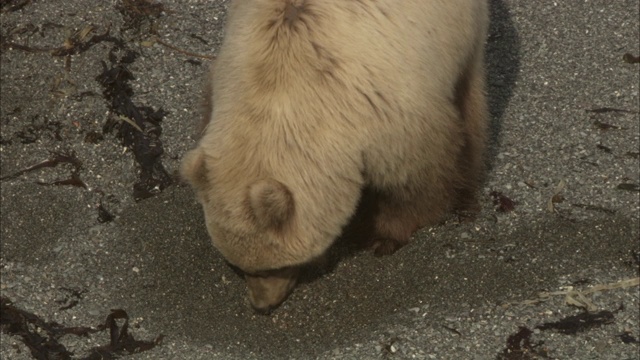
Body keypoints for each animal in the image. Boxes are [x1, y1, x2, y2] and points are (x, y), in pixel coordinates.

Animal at [181, 0, 490, 316]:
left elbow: (416, 176)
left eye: (273, 267)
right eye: (240, 267)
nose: (262, 306)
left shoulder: (388, 113)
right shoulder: (227, 75)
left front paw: (385, 234)